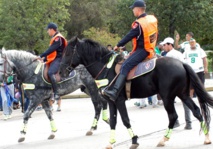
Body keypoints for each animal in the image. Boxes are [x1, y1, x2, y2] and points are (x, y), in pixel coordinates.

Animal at [60, 36, 213, 148]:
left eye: (67, 52)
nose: (61, 72)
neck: (106, 68)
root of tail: (181, 63)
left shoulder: (118, 100)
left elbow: (125, 120)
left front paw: (134, 140)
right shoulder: (111, 102)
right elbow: (113, 121)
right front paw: (111, 143)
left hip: (168, 97)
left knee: (173, 116)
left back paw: (163, 139)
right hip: (183, 94)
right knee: (196, 111)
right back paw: (206, 137)